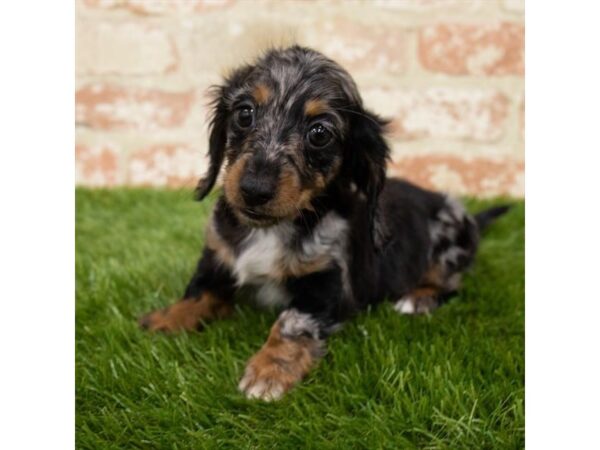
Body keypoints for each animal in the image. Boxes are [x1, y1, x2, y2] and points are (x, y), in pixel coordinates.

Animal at [138, 45, 508, 400]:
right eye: (244, 113)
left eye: (319, 134)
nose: (253, 190)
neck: (272, 229)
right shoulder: (217, 254)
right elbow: (199, 292)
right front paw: (165, 319)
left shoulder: (326, 286)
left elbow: (291, 322)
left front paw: (269, 371)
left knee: (452, 283)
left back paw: (417, 299)